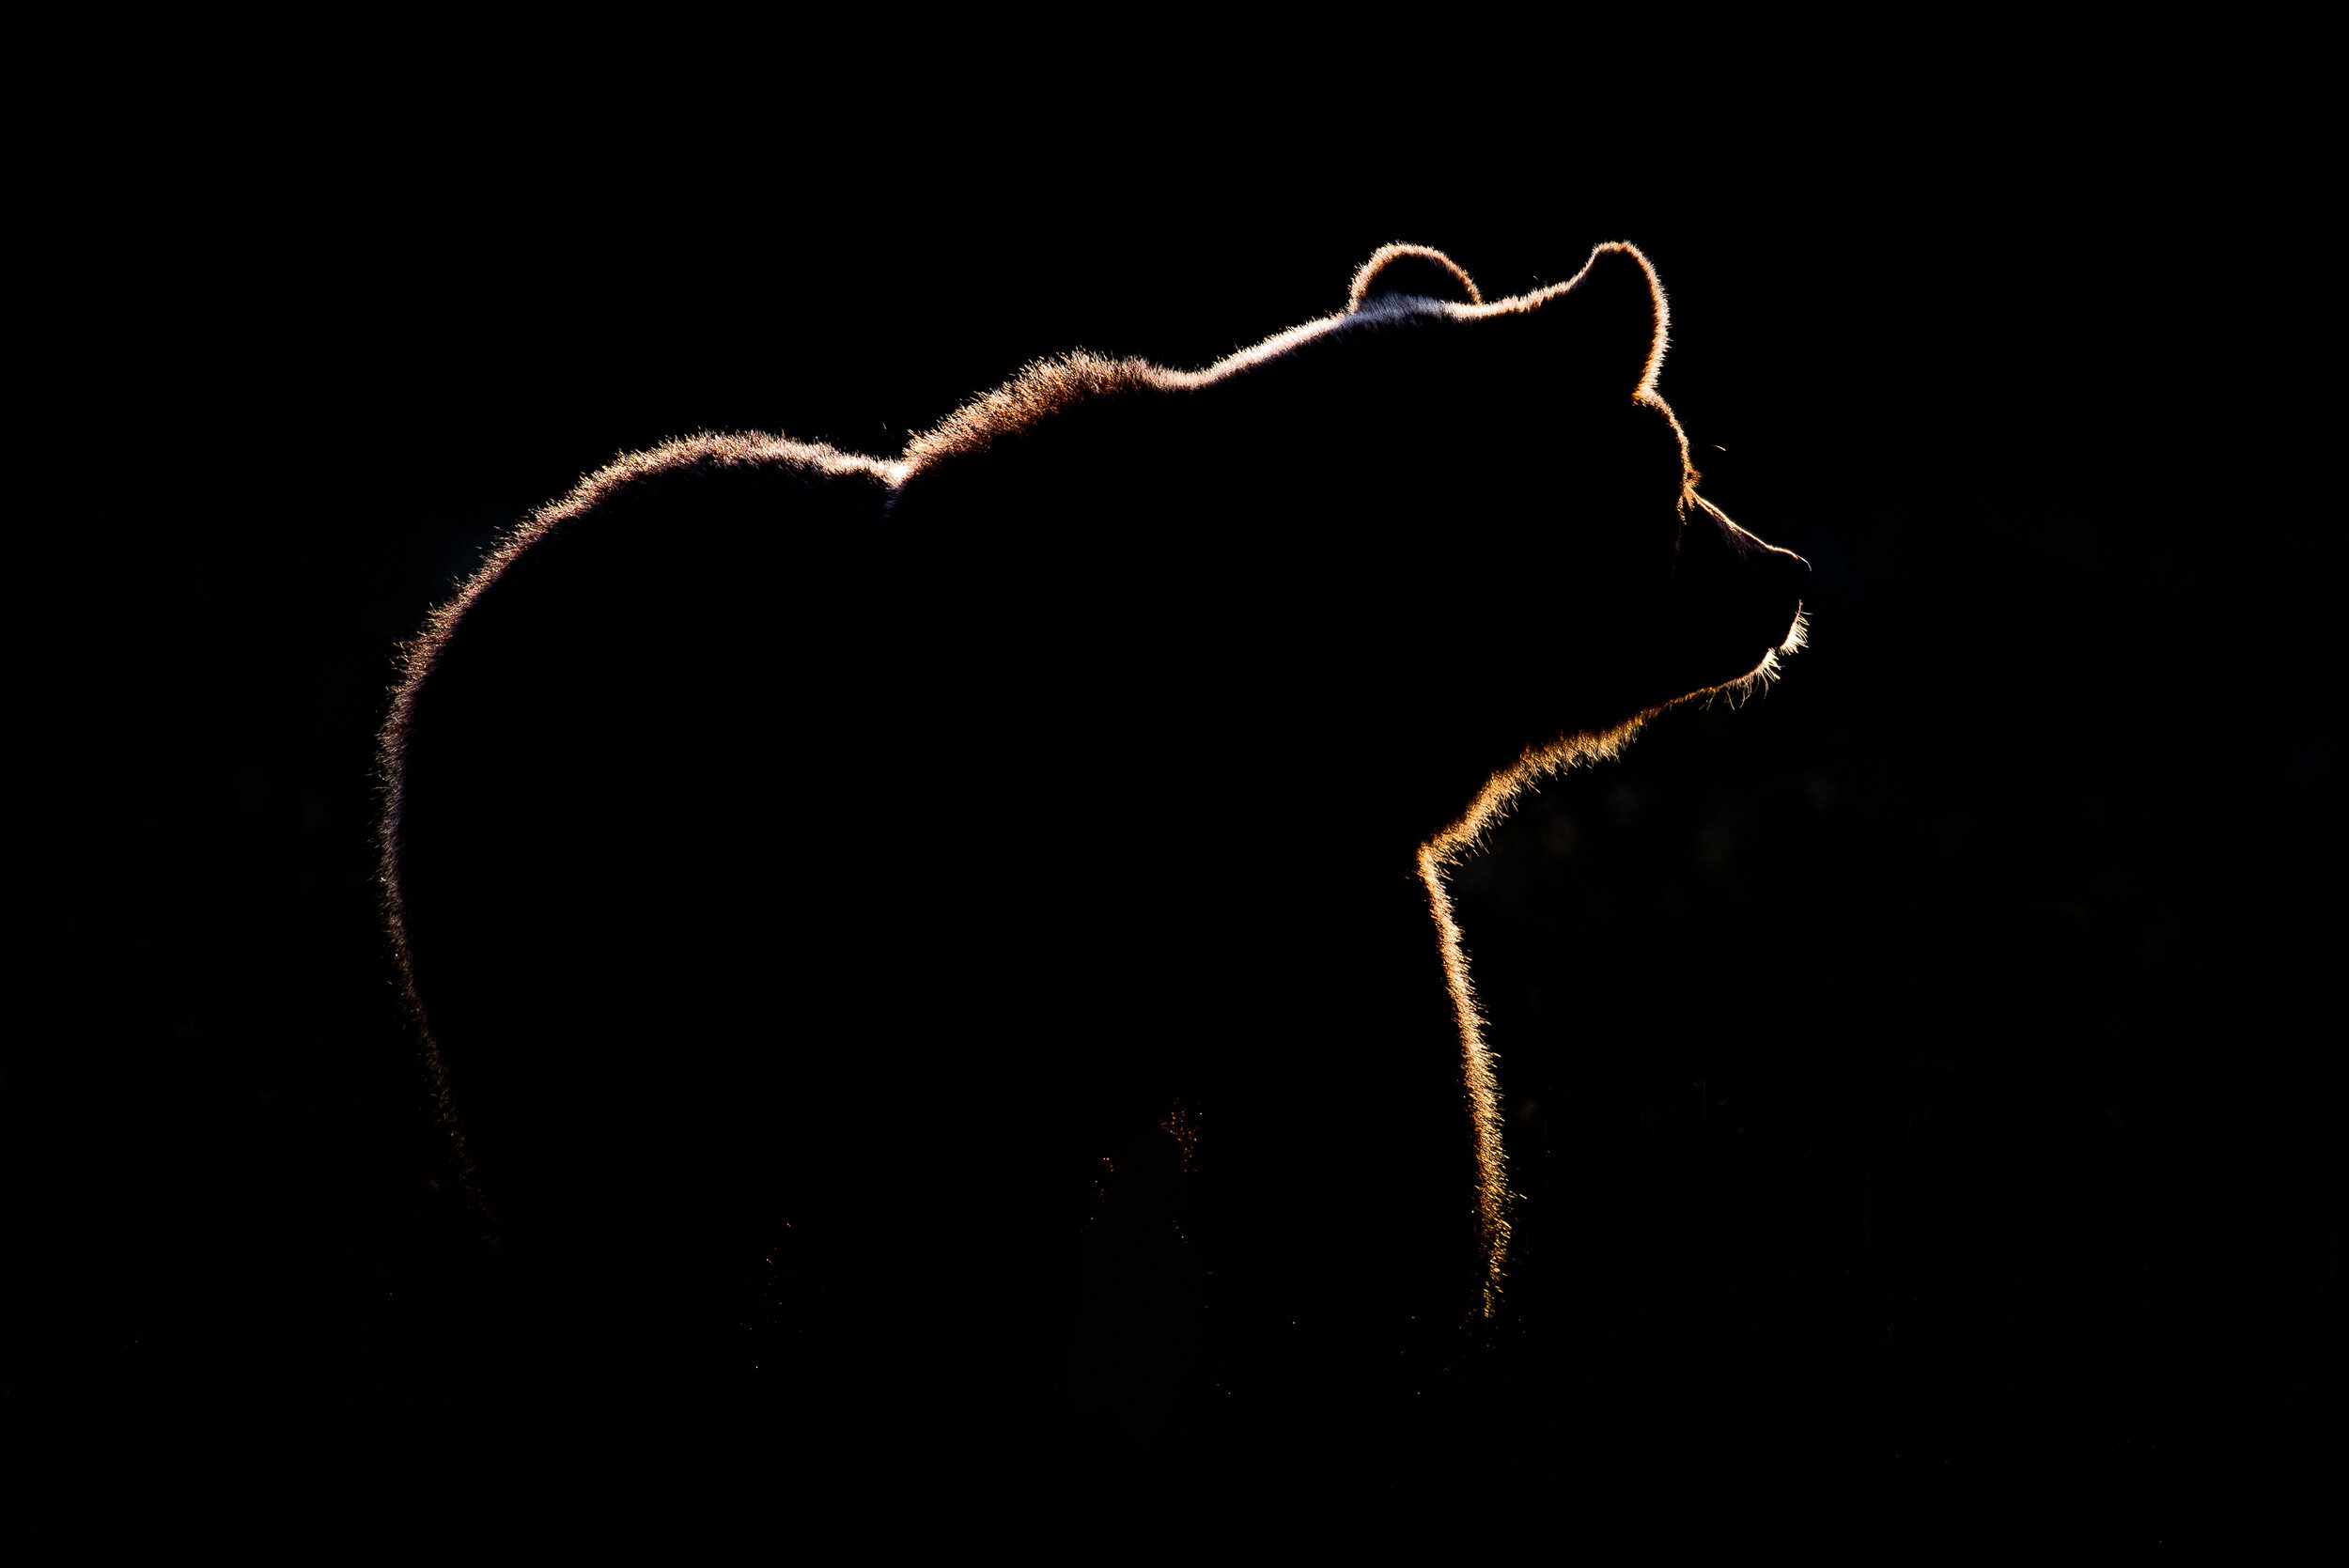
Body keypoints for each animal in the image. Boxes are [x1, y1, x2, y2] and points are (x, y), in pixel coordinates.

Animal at [377, 240, 1809, 1500]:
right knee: (621, 1220)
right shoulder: (1019, 914)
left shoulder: (1312, 902)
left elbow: (1345, 1183)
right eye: (1681, 461)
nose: (1783, 574)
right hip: (573, 936)